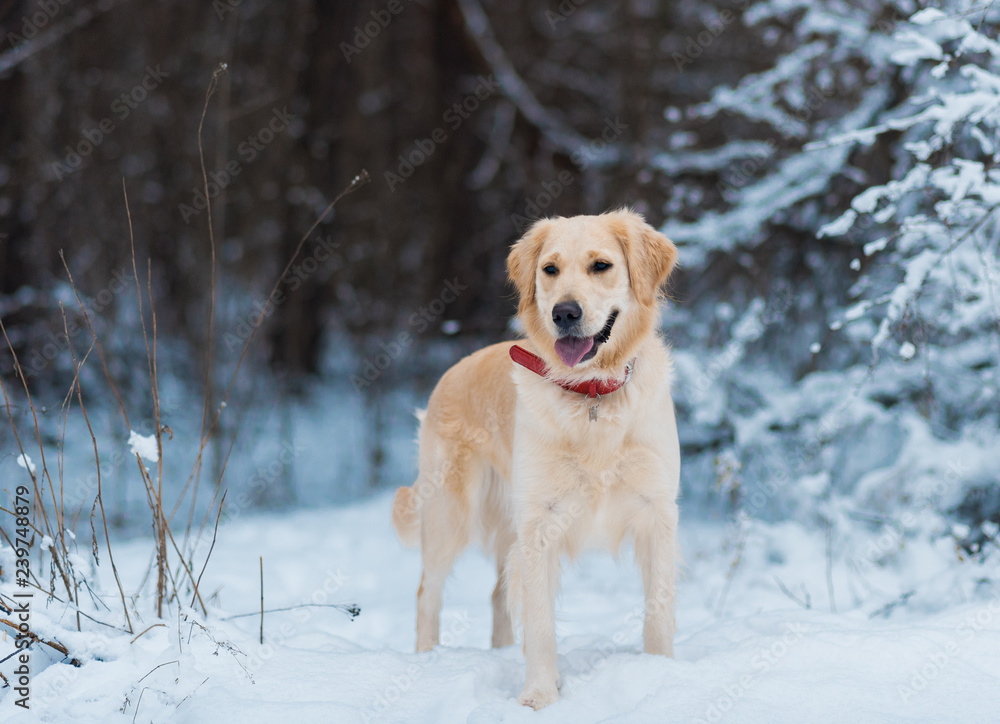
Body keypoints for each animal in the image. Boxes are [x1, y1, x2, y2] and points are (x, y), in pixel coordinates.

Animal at [390, 206, 680, 708]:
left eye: (601, 266)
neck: (591, 394)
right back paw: (426, 661)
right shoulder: (540, 524)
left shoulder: (656, 512)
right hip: (451, 514)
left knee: (496, 594)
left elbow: (657, 611)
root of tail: (452, 370)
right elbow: (541, 622)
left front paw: (661, 675)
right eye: (550, 270)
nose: (564, 312)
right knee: (427, 592)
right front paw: (540, 696)